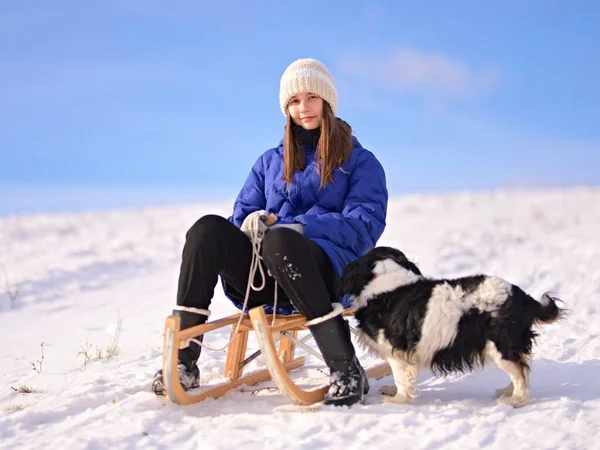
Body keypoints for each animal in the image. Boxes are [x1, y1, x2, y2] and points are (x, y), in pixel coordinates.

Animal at [338, 246, 568, 408]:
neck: (387, 282)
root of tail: (524, 298)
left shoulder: (395, 352)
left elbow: (401, 379)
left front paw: (397, 401)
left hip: (501, 346)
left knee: (520, 374)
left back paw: (514, 401)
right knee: (521, 370)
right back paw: (507, 392)